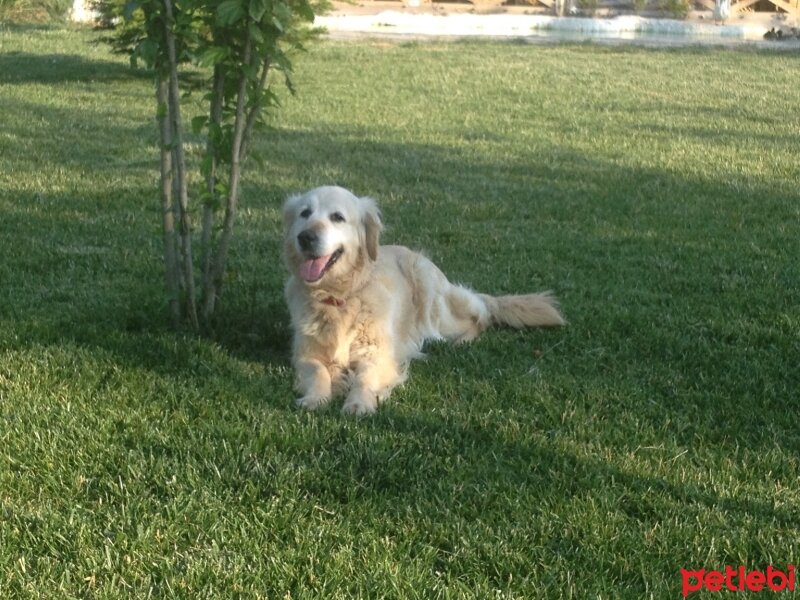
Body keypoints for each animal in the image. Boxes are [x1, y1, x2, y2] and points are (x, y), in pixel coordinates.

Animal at [284, 185, 564, 414]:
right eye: (304, 213)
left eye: (337, 217)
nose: (305, 237)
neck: (338, 297)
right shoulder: (305, 353)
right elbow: (319, 371)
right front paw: (316, 398)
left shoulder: (379, 353)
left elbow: (365, 377)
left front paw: (359, 402)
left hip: (429, 295)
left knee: (480, 316)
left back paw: (461, 341)